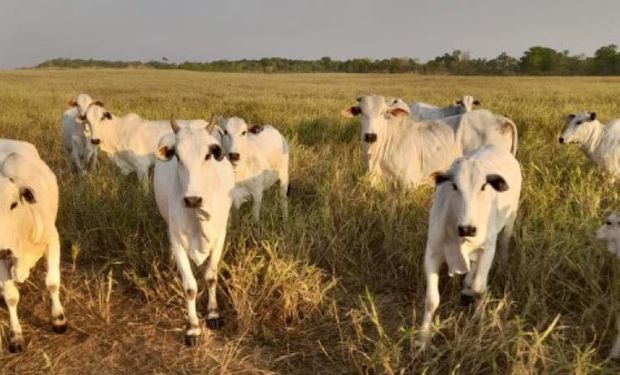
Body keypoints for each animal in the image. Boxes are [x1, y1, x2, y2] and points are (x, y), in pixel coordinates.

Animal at [0, 140, 67, 352]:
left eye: (14, 204)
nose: (2, 249)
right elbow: (11, 296)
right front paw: (16, 336)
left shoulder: (53, 239)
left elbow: (52, 282)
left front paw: (58, 319)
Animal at [153, 119, 235, 346]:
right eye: (178, 157)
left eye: (207, 155)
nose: (192, 199)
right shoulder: (176, 240)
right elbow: (189, 287)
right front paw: (193, 328)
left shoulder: (220, 235)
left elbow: (211, 276)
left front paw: (213, 314)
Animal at [416, 145, 524, 350]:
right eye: (454, 186)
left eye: (483, 186)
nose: (468, 228)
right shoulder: (432, 253)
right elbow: (431, 300)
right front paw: (422, 339)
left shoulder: (488, 249)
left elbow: (479, 289)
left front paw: (479, 323)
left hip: (511, 219)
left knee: (504, 246)